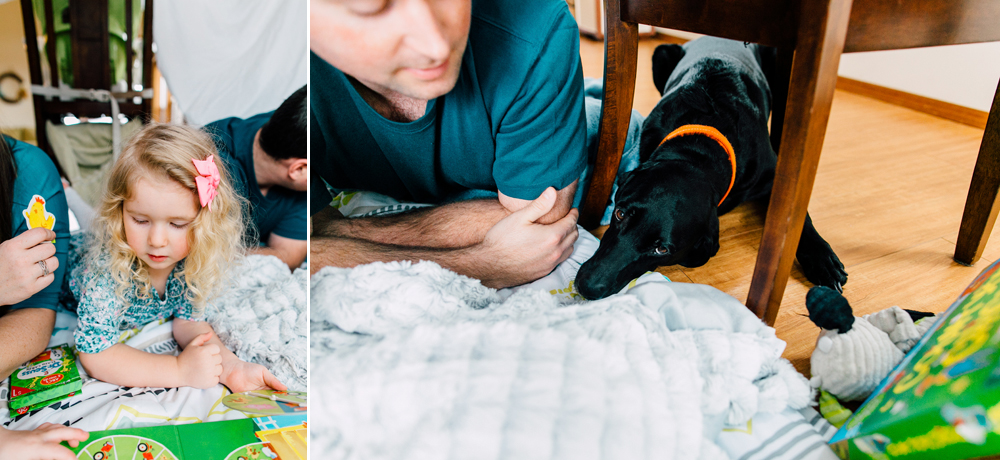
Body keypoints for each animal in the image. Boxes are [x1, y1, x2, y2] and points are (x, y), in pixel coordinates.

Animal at [576, 37, 848, 300]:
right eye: (620, 214)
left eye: (661, 249)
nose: (586, 286)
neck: (699, 150)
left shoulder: (773, 178)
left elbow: (799, 219)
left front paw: (822, 259)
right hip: (661, 53)